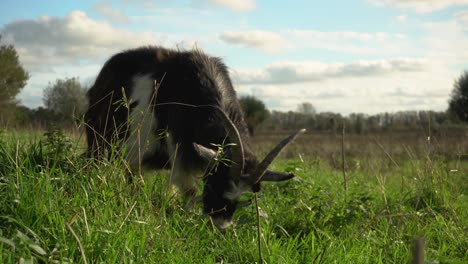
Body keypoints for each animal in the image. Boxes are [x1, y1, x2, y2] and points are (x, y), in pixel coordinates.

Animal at [83, 46, 304, 230]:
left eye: (240, 197)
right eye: (214, 185)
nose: (220, 226)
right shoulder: (180, 151)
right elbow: (188, 191)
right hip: (100, 141)